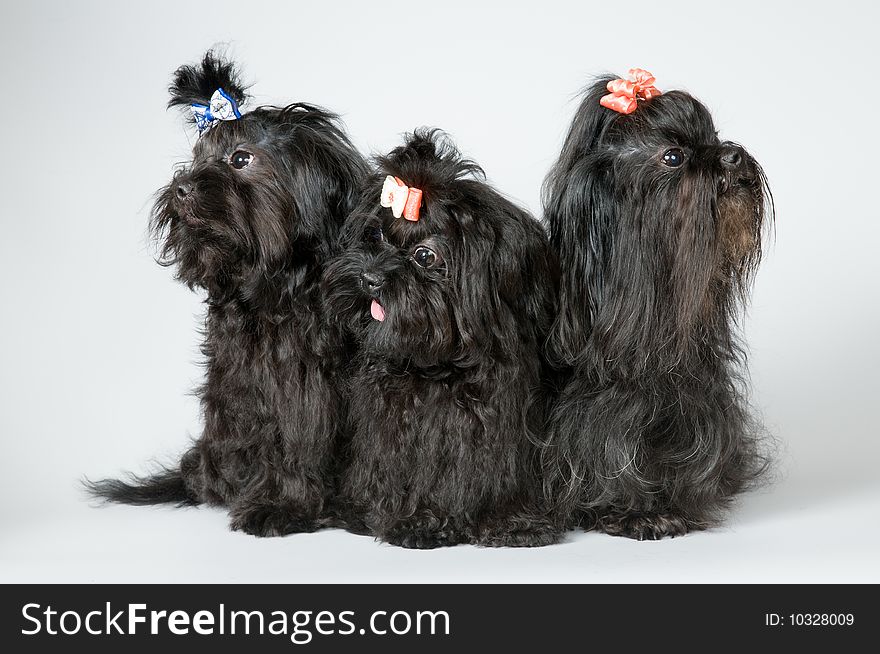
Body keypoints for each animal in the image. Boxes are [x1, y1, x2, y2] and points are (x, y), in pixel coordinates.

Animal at [84, 48, 366, 536]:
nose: (181, 188)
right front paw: (279, 502)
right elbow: (277, 440)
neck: (278, 285)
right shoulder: (248, 384)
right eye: (197, 157)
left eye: (240, 159)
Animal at [324, 131, 556, 552]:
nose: (369, 278)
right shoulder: (398, 427)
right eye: (375, 235)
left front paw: (514, 522)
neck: (439, 365)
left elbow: (502, 478)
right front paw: (420, 521)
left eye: (424, 255)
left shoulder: (502, 423)